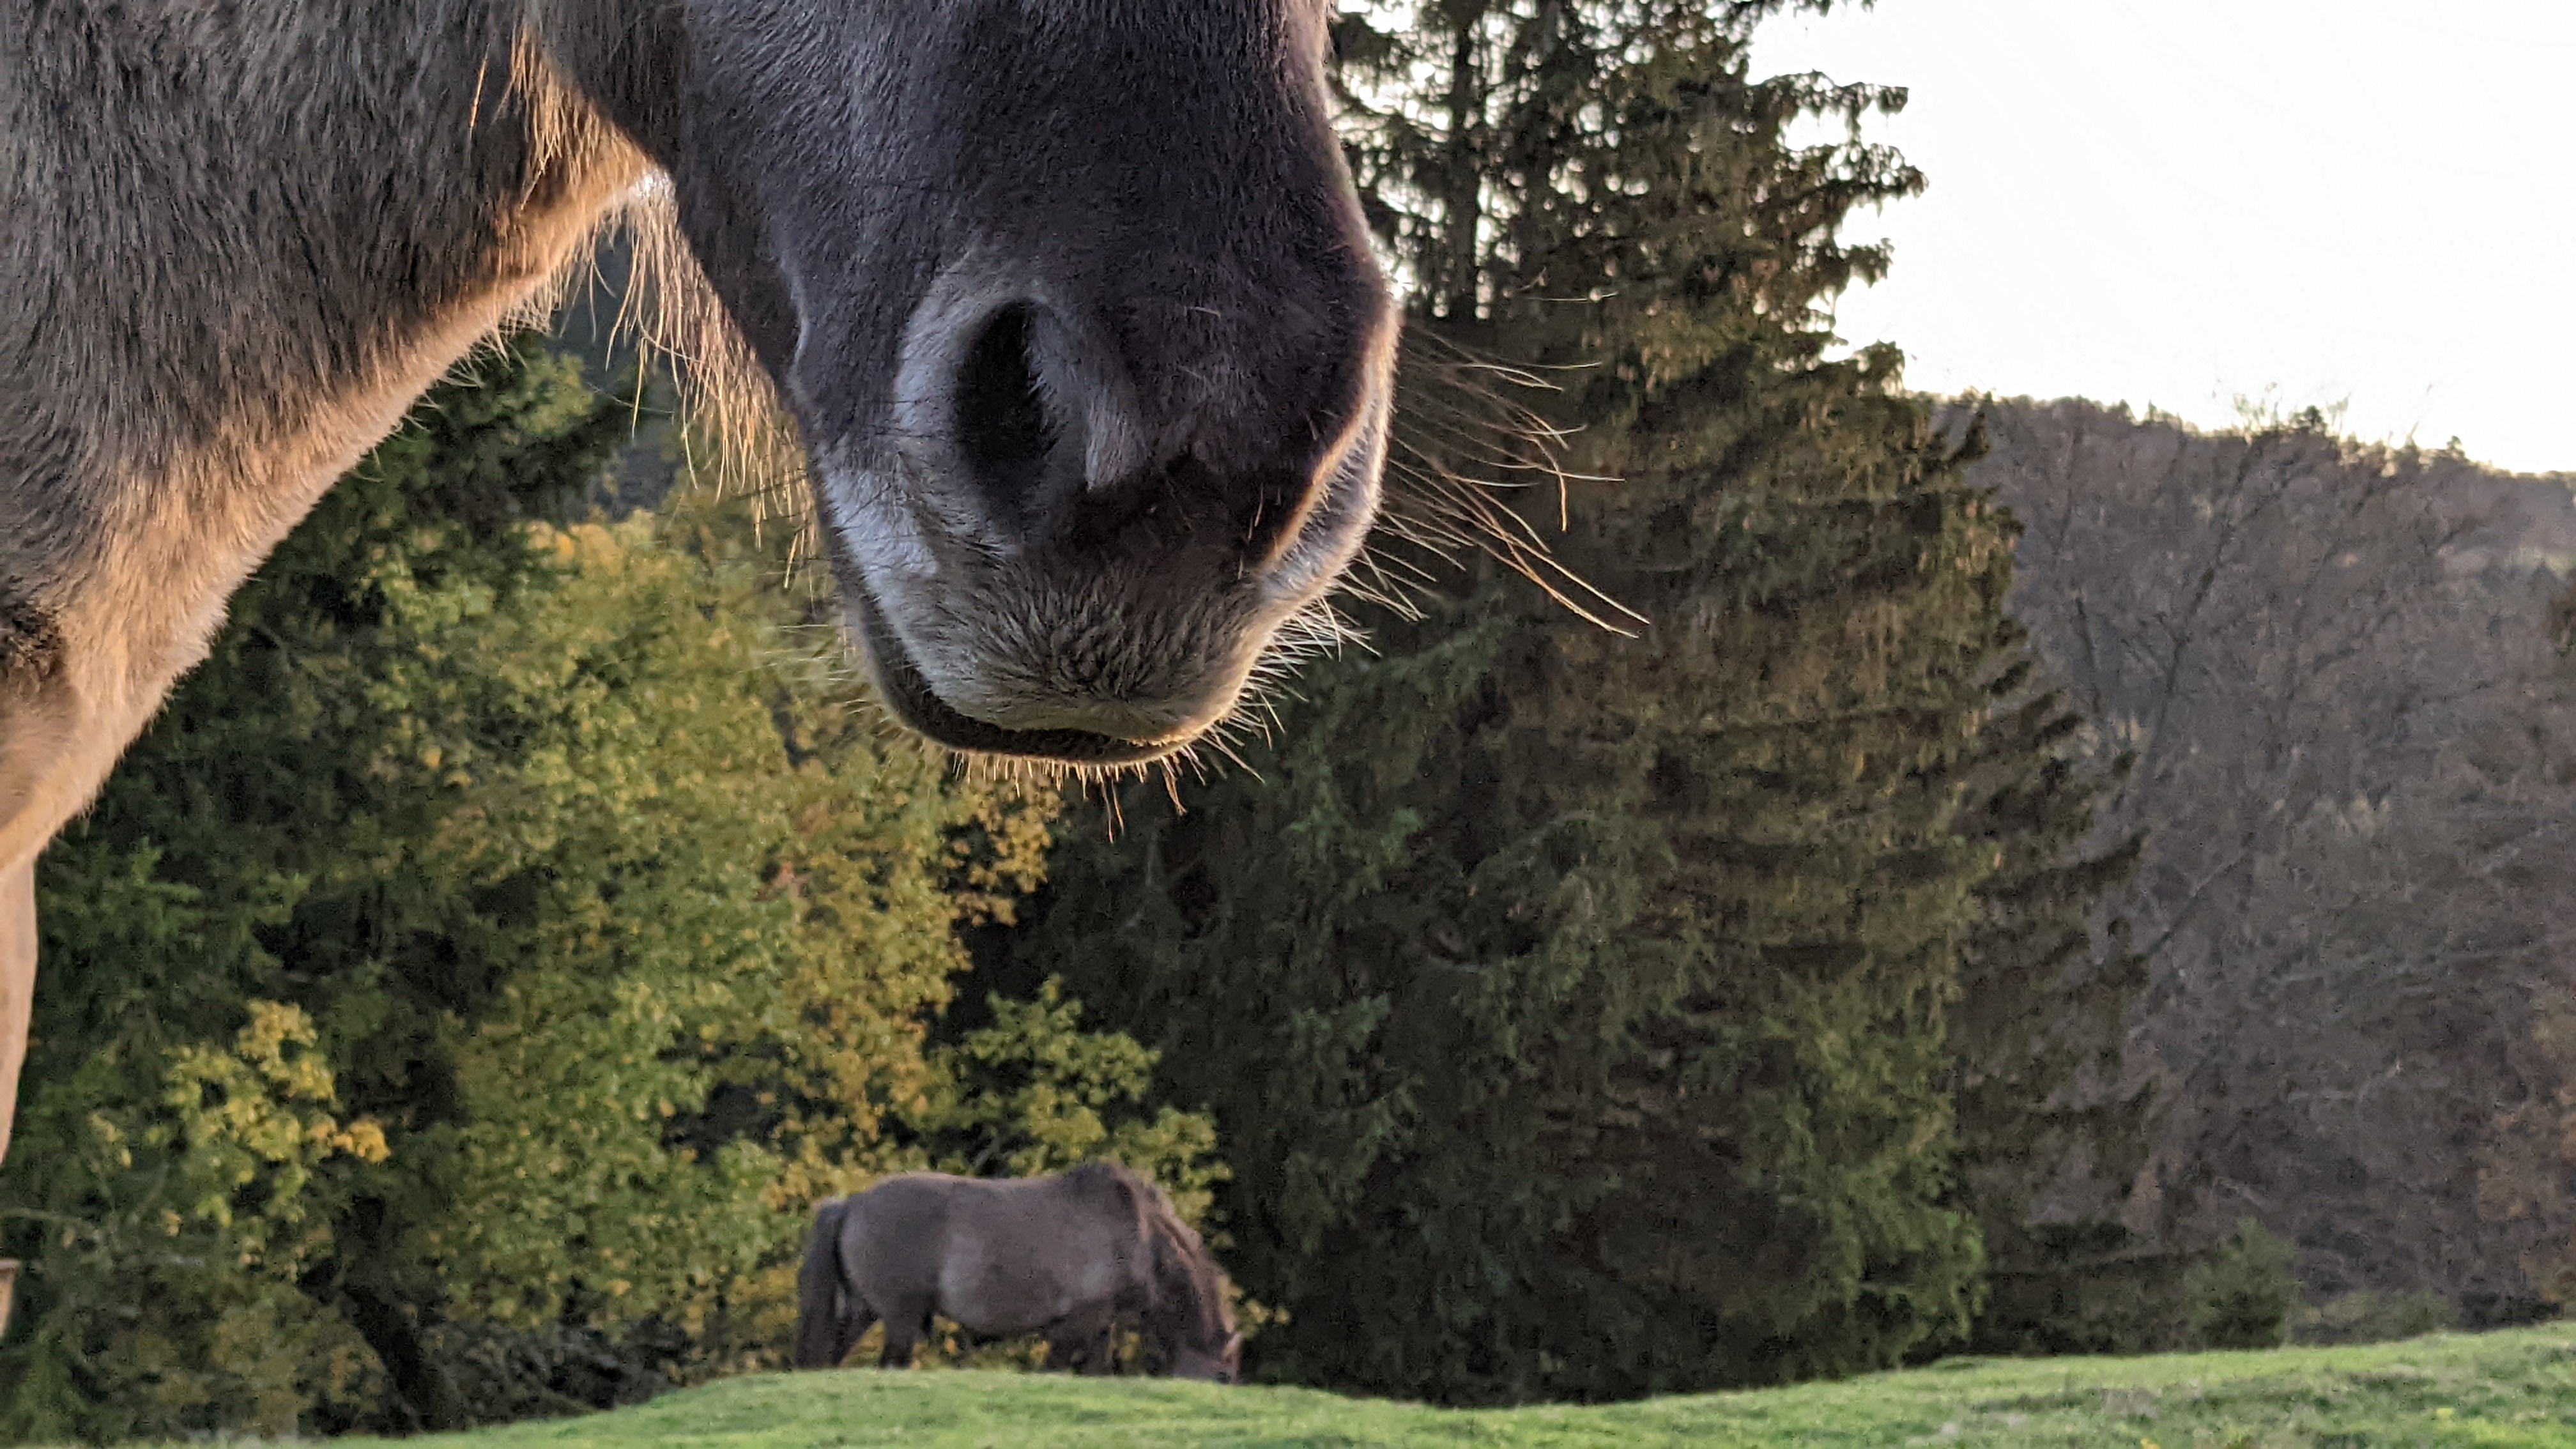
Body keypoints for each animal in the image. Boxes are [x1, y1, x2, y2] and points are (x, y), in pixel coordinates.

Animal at [794, 1162, 1243, 1382]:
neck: (1138, 1231)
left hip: (864, 1312)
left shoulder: (1102, 1323)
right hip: (902, 1318)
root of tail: (852, 1204)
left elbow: (1095, 1371)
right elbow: (1055, 1366)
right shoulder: (1080, 1321)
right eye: (1224, 1376)